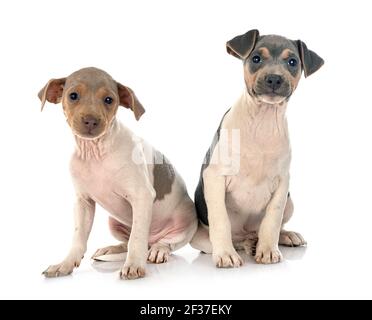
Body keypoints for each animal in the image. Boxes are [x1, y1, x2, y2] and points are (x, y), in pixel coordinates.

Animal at [38, 68, 198, 280]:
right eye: (73, 96)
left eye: (109, 99)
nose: (91, 120)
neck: (95, 152)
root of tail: (152, 239)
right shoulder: (83, 203)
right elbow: (78, 237)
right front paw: (65, 264)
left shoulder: (141, 196)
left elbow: (136, 239)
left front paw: (134, 265)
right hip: (113, 222)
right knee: (127, 240)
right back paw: (111, 249)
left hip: (185, 223)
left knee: (163, 242)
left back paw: (158, 250)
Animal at [190, 30, 324, 266]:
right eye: (256, 59)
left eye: (292, 62)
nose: (274, 78)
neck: (263, 121)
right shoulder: (214, 178)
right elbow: (220, 220)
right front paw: (225, 254)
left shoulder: (282, 183)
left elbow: (272, 220)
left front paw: (268, 250)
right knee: (226, 240)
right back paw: (243, 245)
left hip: (290, 201)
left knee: (271, 227)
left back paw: (282, 237)